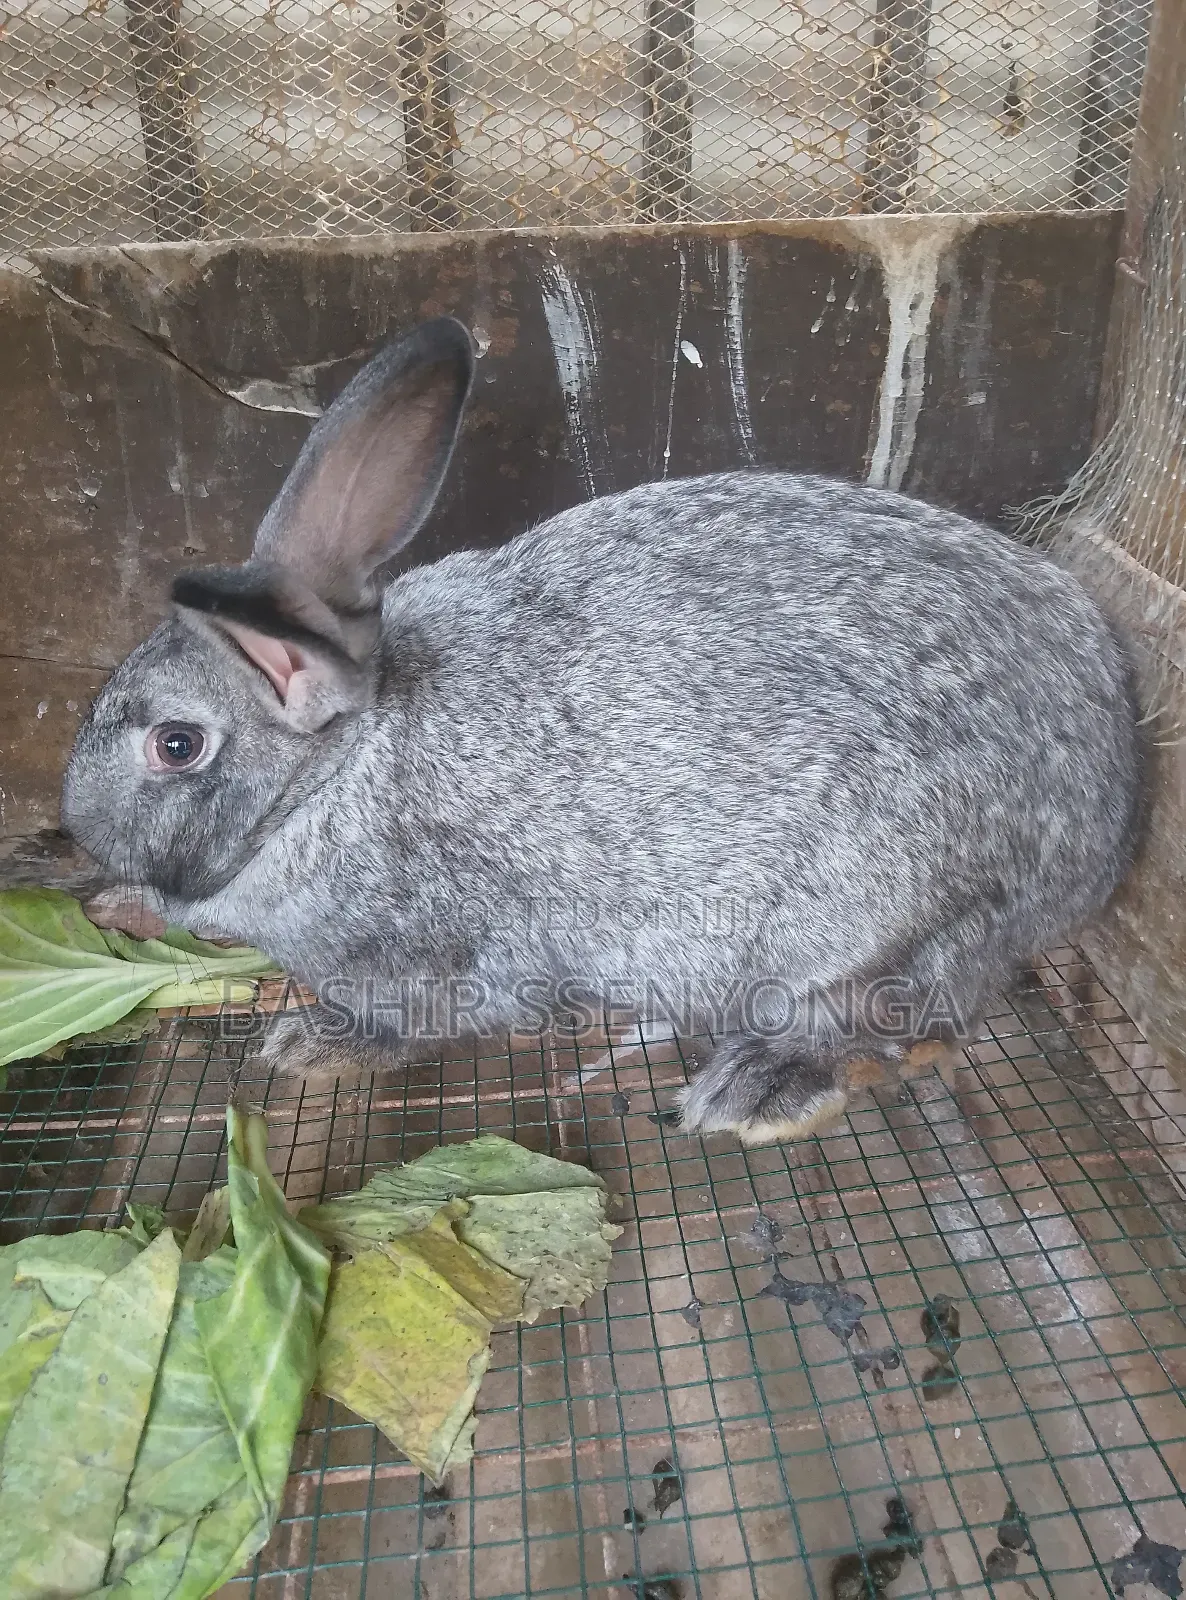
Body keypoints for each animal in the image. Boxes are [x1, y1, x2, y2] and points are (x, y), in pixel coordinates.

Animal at [61, 315, 1142, 1145]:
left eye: (175, 744)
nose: (76, 823)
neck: (337, 772)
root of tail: (1105, 815)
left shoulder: (441, 958)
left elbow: (419, 1019)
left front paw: (312, 1046)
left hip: (873, 915)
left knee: (896, 1015)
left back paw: (756, 1091)